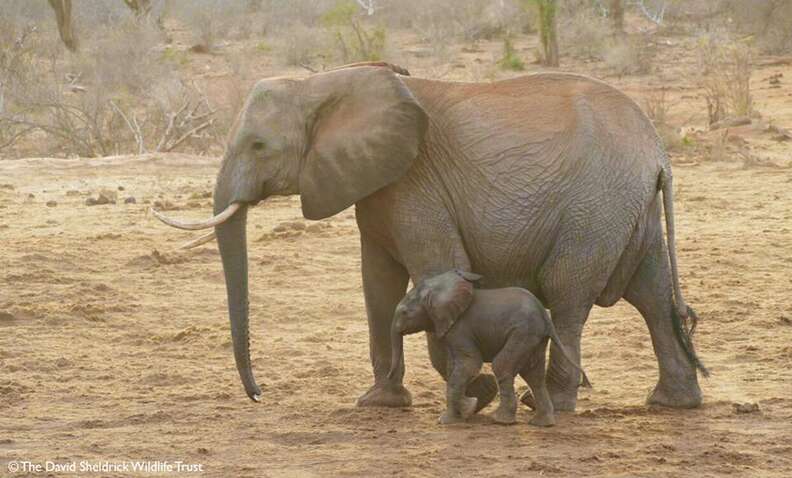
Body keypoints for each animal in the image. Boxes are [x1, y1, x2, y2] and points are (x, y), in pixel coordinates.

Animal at [153, 62, 704, 410]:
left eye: (258, 145)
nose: (259, 394)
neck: (324, 83)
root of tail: (659, 153)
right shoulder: (377, 183)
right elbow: (377, 283)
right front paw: (380, 404)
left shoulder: (415, 183)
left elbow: (438, 272)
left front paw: (476, 395)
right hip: (629, 209)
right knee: (652, 295)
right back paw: (672, 404)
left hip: (596, 206)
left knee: (569, 294)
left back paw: (548, 403)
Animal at [390, 268, 588, 426]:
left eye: (404, 313)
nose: (390, 375)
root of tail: (545, 316)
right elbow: (455, 366)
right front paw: (462, 412)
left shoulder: (460, 329)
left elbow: (469, 364)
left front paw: (460, 413)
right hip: (534, 337)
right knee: (533, 374)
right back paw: (542, 424)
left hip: (523, 332)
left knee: (502, 365)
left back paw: (501, 420)